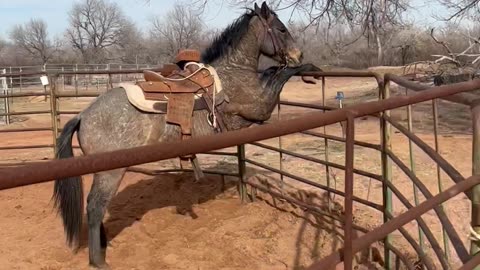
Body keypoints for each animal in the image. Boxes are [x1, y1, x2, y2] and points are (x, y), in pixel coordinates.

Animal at [52, 1, 318, 268]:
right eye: (281, 29)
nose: (299, 54)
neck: (232, 74)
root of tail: (83, 116)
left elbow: (274, 71)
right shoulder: (260, 107)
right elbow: (281, 73)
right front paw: (310, 69)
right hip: (110, 172)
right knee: (95, 206)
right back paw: (98, 259)